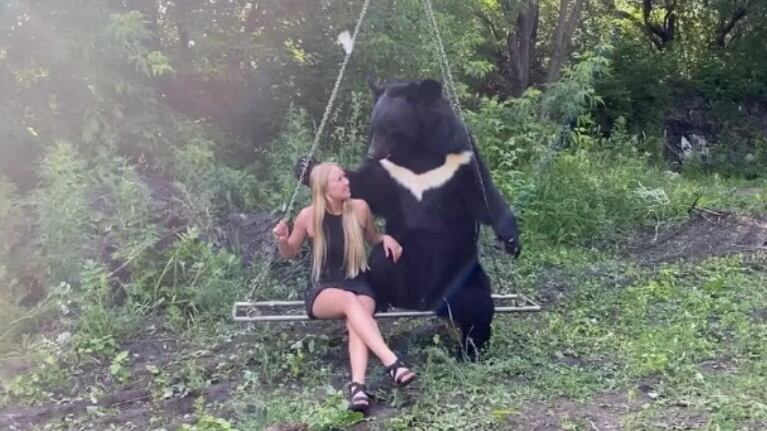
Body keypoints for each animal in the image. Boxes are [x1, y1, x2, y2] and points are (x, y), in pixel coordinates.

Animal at [299, 78, 521, 360]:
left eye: (392, 129)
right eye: (374, 127)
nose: (372, 154)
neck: (418, 150)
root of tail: (424, 300)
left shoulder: (460, 158)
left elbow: (484, 197)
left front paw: (512, 241)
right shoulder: (392, 172)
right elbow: (368, 186)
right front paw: (306, 165)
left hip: (461, 272)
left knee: (479, 306)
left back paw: (471, 351)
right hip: (399, 260)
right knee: (381, 263)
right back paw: (382, 299)